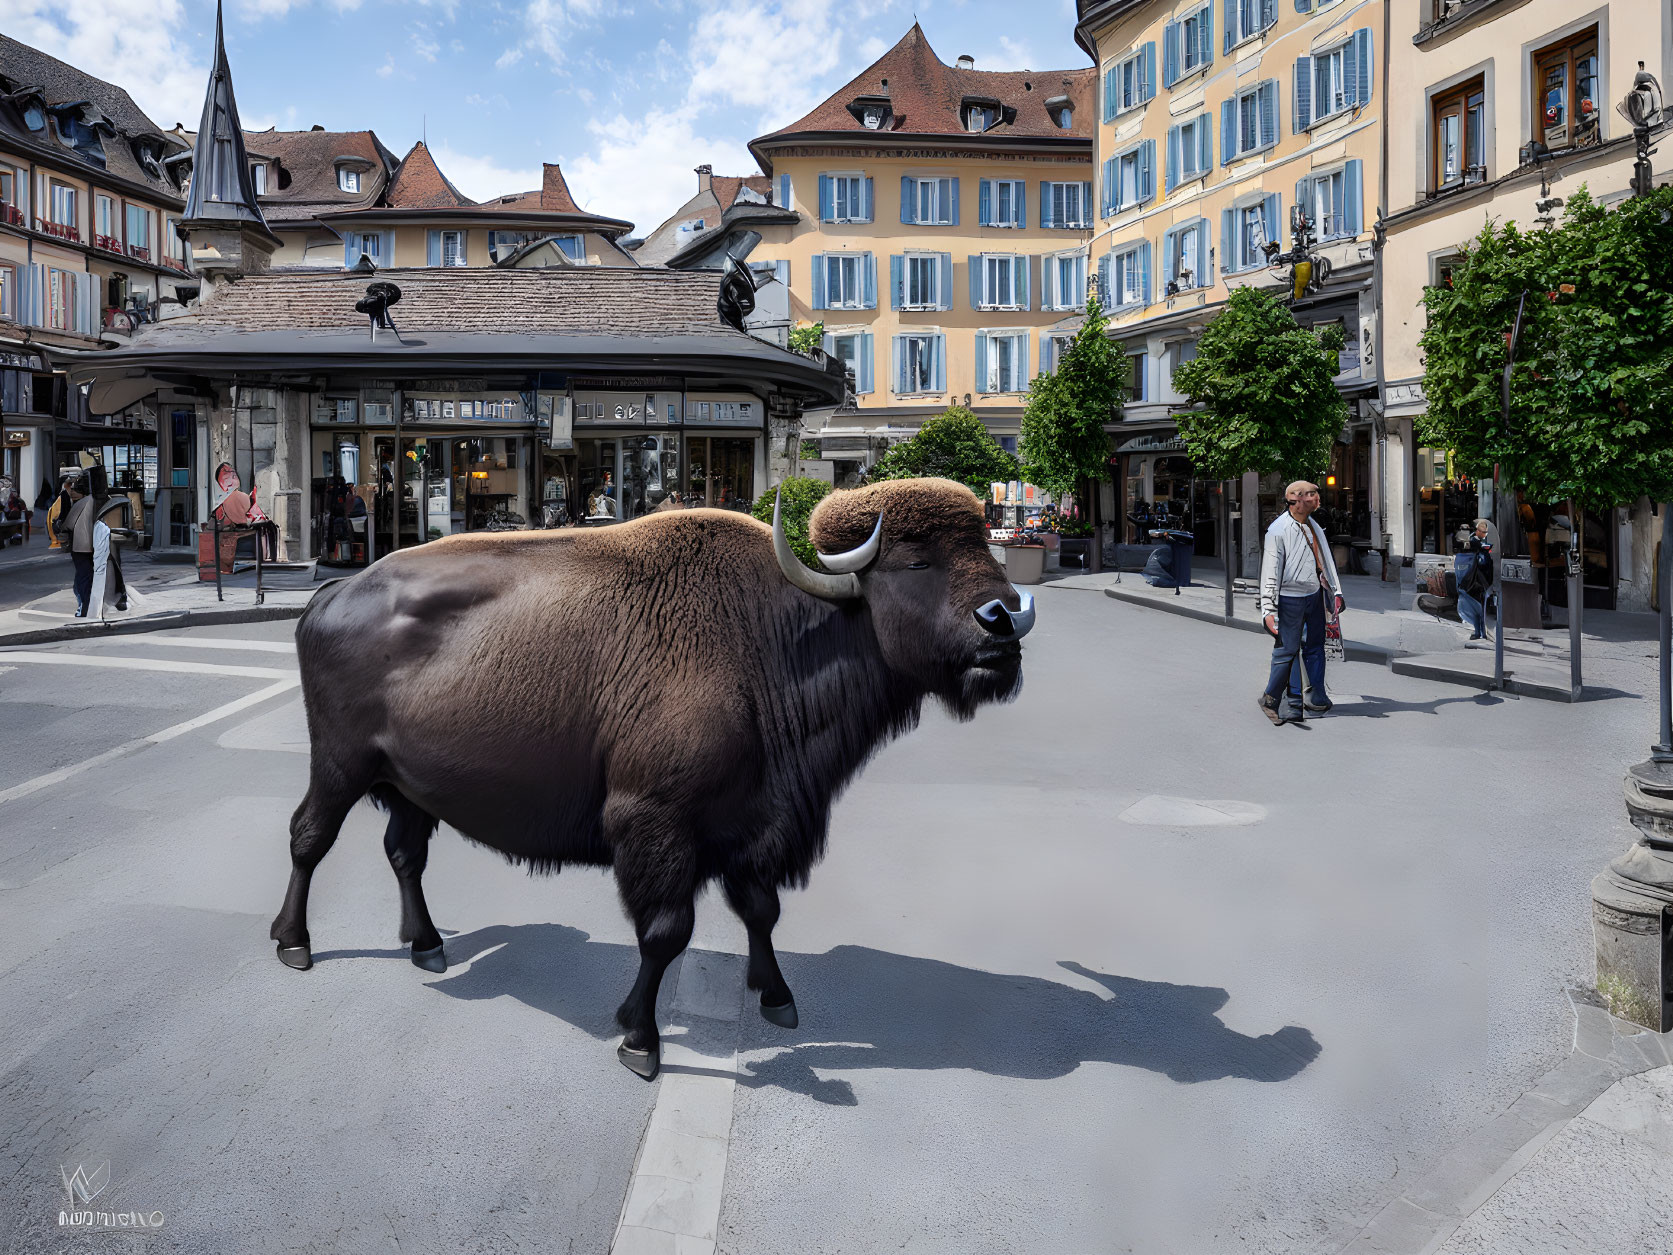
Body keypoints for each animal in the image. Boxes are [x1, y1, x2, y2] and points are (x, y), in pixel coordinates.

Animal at [272, 478, 1030, 1084]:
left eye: (986, 548)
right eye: (915, 559)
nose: (1004, 620)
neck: (770, 635)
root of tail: (332, 594)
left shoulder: (752, 826)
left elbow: (761, 912)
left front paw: (777, 998)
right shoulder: (656, 823)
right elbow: (666, 932)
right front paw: (640, 1039)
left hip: (409, 785)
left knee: (405, 852)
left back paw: (427, 947)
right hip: (339, 765)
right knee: (308, 837)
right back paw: (295, 944)